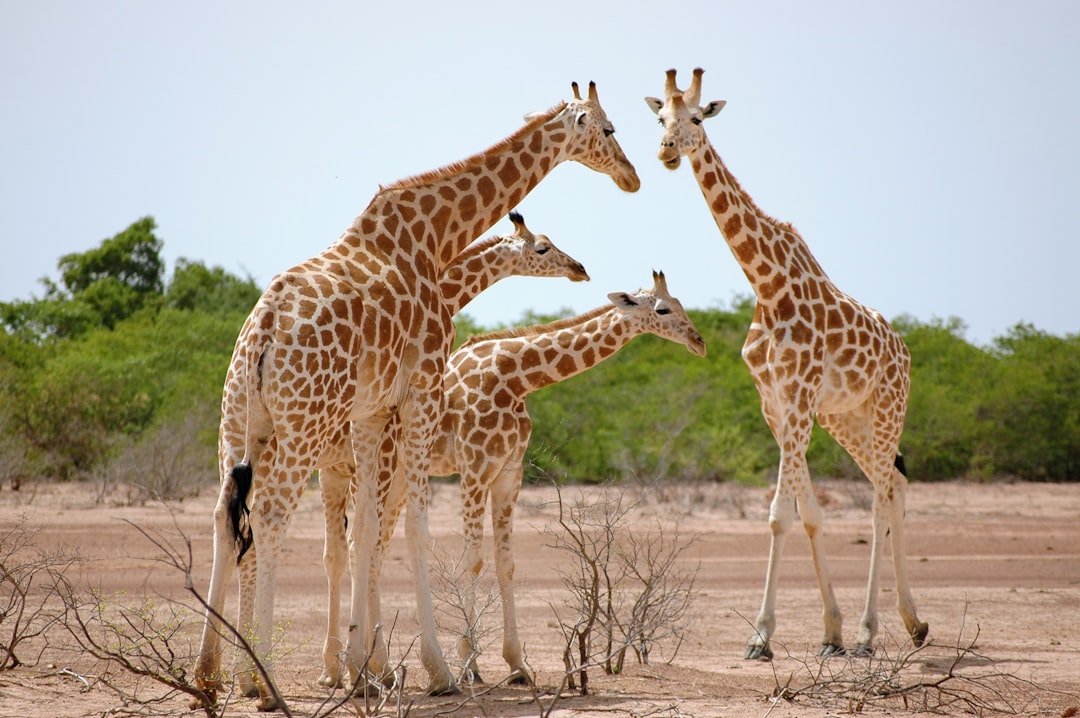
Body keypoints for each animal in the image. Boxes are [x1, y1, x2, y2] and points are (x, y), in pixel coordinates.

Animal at [312, 210, 590, 688]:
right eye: (542, 247)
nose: (579, 268)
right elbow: (373, 544)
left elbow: (369, 546)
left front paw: (373, 667)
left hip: (334, 472)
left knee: (334, 552)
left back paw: (333, 669)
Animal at [334, 271, 705, 686]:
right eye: (663, 309)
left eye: (681, 303)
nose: (699, 342)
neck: (517, 378)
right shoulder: (475, 468)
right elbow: (473, 560)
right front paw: (469, 664)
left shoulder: (509, 473)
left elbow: (505, 563)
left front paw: (516, 664)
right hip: (378, 466)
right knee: (361, 542)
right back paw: (365, 669)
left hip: (400, 477)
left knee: (377, 547)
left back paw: (377, 669)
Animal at [646, 68, 928, 660]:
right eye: (659, 118)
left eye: (697, 118)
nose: (666, 152)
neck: (767, 285)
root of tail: (903, 349)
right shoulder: (774, 402)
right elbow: (801, 514)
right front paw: (818, 632)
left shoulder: (798, 397)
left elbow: (789, 515)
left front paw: (775, 635)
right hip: (846, 418)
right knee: (893, 484)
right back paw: (913, 624)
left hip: (888, 407)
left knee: (880, 498)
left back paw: (871, 631)